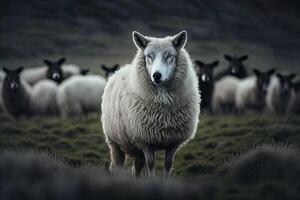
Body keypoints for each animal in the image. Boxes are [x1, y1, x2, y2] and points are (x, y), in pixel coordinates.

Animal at [100, 30, 199, 177]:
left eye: (169, 56)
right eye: (148, 56)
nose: (156, 75)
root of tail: (119, 70)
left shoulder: (173, 142)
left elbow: (168, 165)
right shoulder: (145, 140)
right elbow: (151, 165)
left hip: (136, 148)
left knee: (137, 167)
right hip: (115, 141)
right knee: (118, 165)